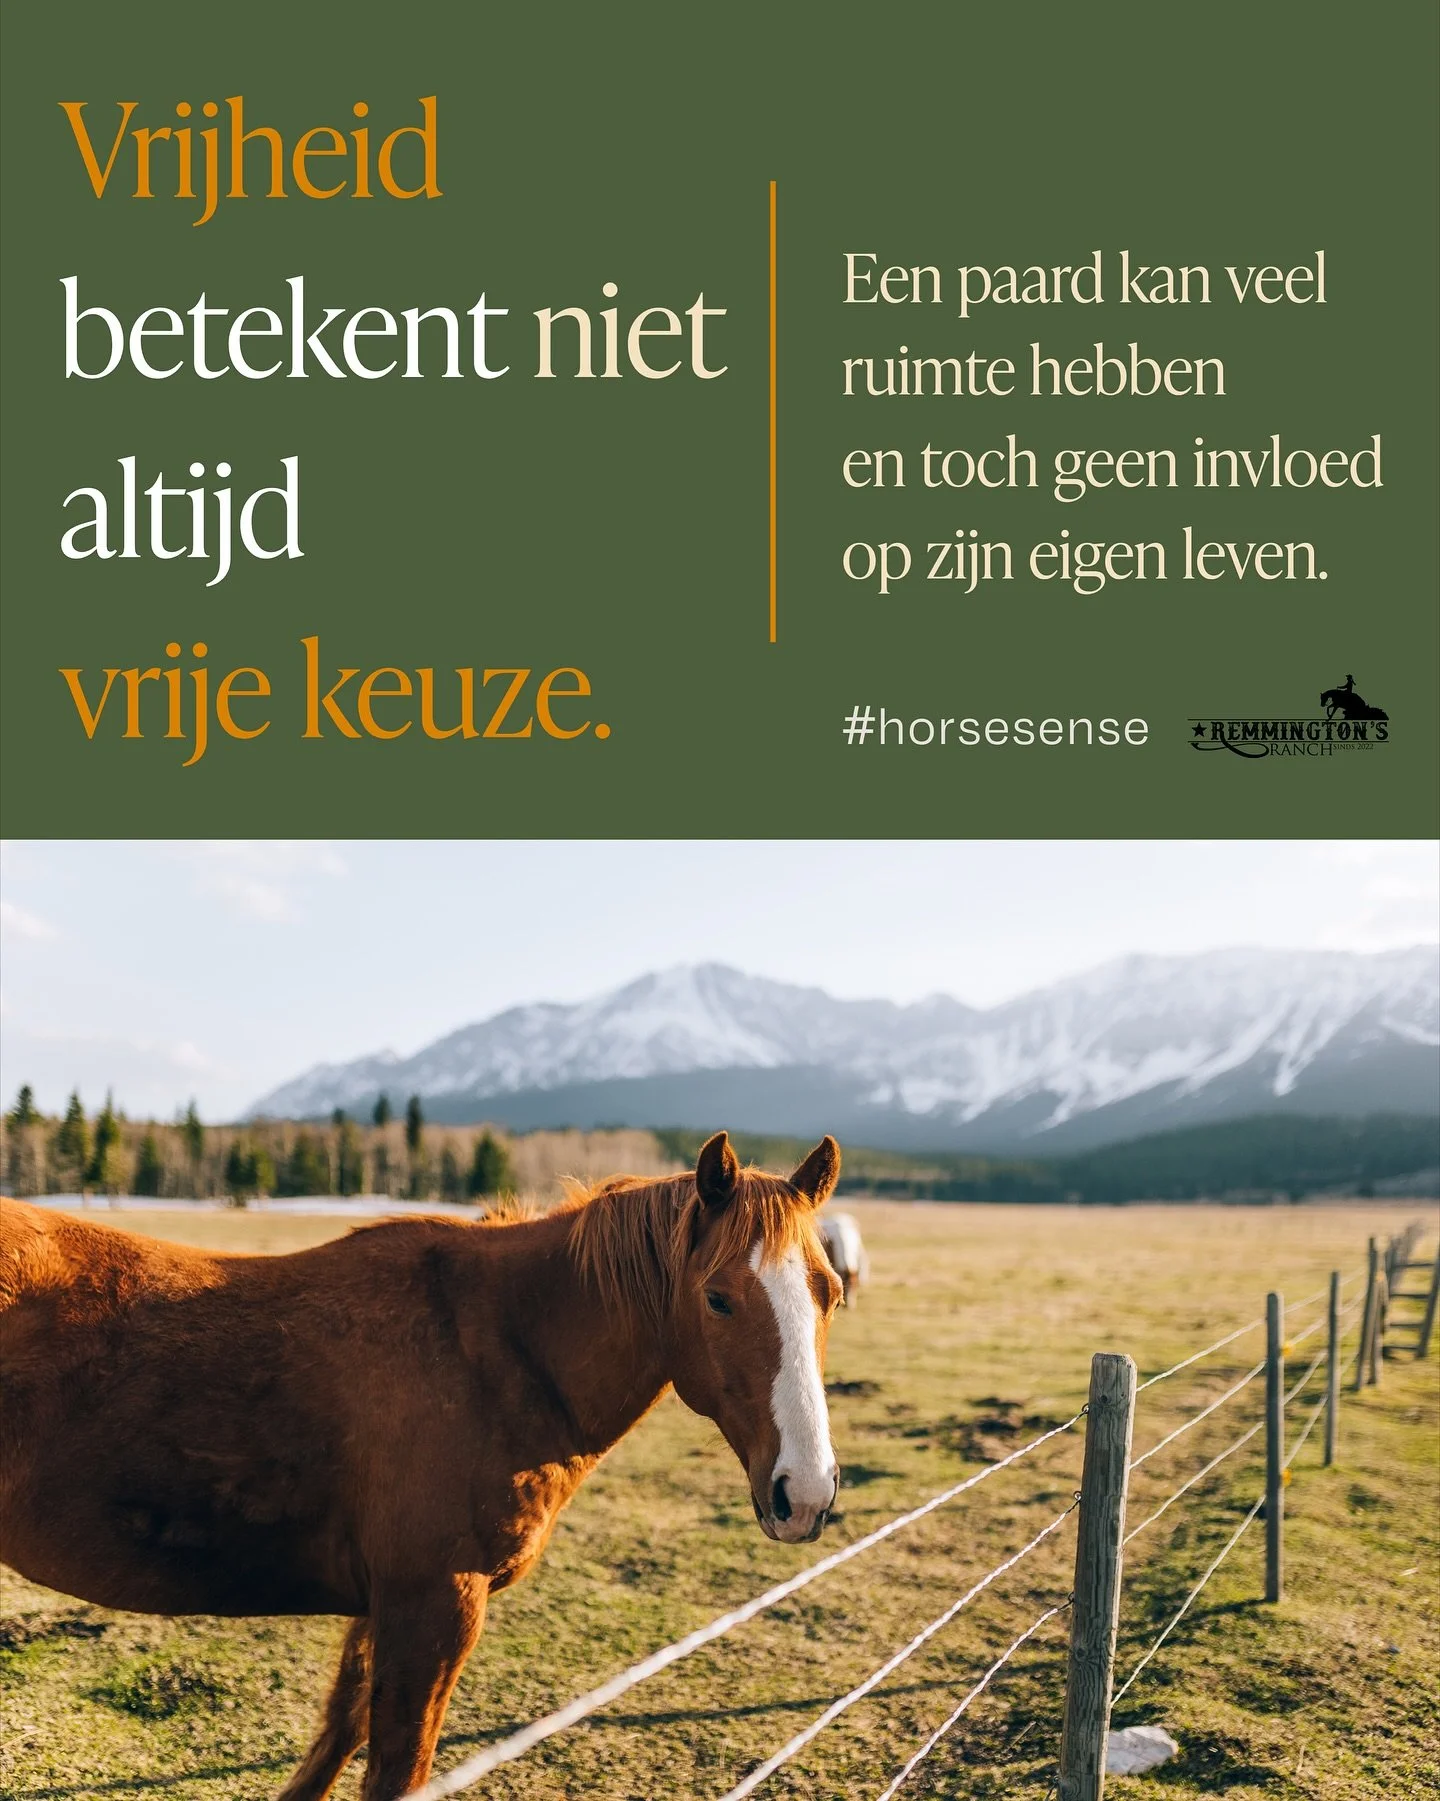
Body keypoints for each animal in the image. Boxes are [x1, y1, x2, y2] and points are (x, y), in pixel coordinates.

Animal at [0, 1131, 843, 1801]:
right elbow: (396, 1767)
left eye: (829, 1291)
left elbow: (340, 1731)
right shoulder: (435, 1603)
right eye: (719, 1297)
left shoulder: (384, 1603)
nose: (804, 1492)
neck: (496, 1351)